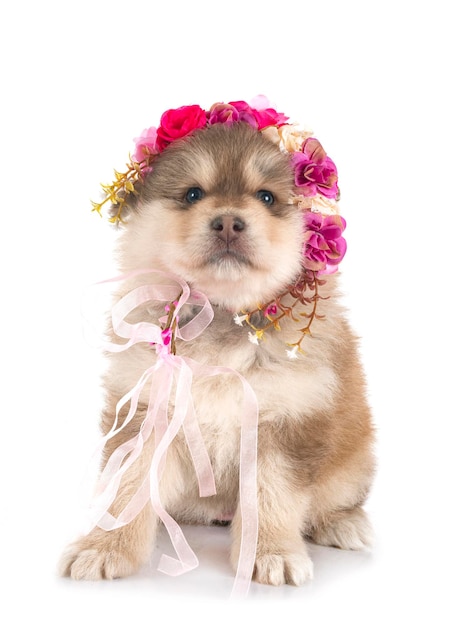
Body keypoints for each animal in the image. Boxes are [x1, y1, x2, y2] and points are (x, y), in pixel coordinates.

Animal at [61, 118, 378, 584]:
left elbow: (271, 497)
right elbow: (129, 491)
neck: (224, 314)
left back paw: (344, 523)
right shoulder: (149, 408)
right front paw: (105, 548)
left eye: (266, 197)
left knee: (339, 497)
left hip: (354, 460)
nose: (228, 222)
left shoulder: (286, 420)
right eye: (194, 193)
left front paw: (273, 552)